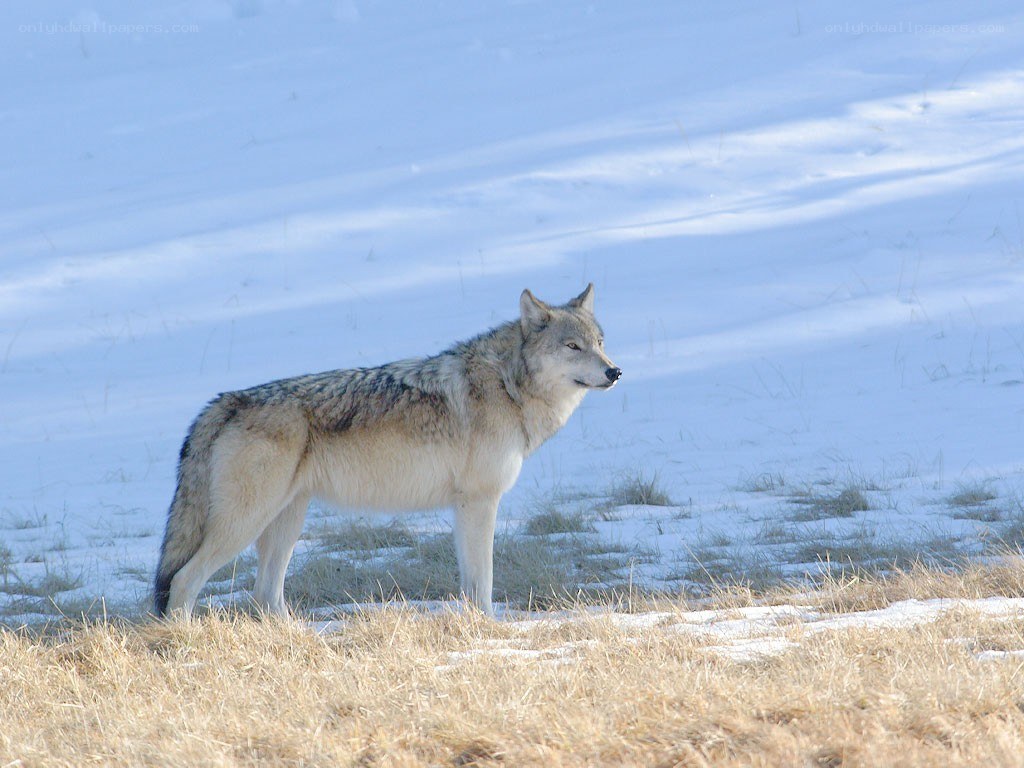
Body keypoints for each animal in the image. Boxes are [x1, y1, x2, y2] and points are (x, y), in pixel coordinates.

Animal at [153, 284, 620, 618]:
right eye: (572, 347)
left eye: (600, 342)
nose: (614, 371)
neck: (507, 385)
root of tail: (223, 402)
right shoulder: (479, 501)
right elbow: (483, 583)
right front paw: (490, 630)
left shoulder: (464, 506)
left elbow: (470, 583)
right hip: (246, 523)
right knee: (184, 582)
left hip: (286, 522)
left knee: (264, 597)